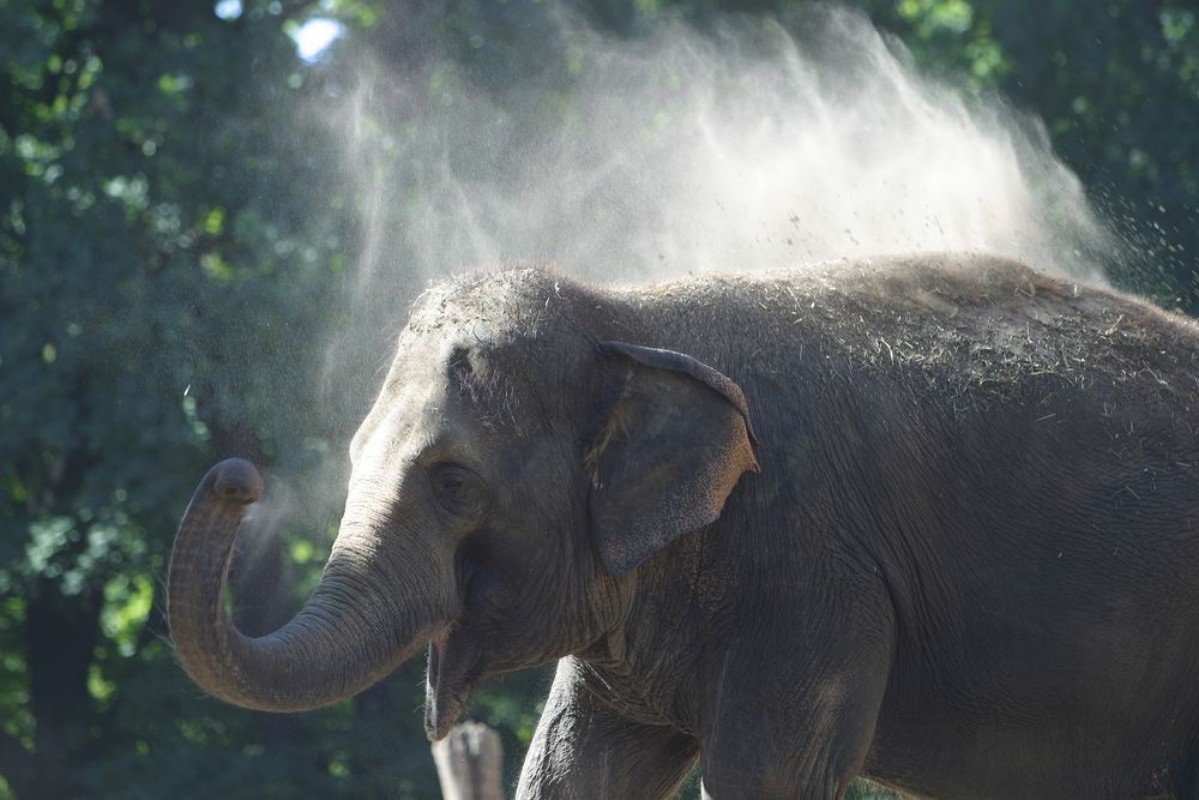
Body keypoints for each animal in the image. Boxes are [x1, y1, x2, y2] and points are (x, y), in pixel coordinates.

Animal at [169, 252, 1199, 799]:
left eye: (454, 481)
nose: (236, 477)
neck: (629, 312)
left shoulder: (814, 575)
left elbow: (765, 781)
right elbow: (570, 771)